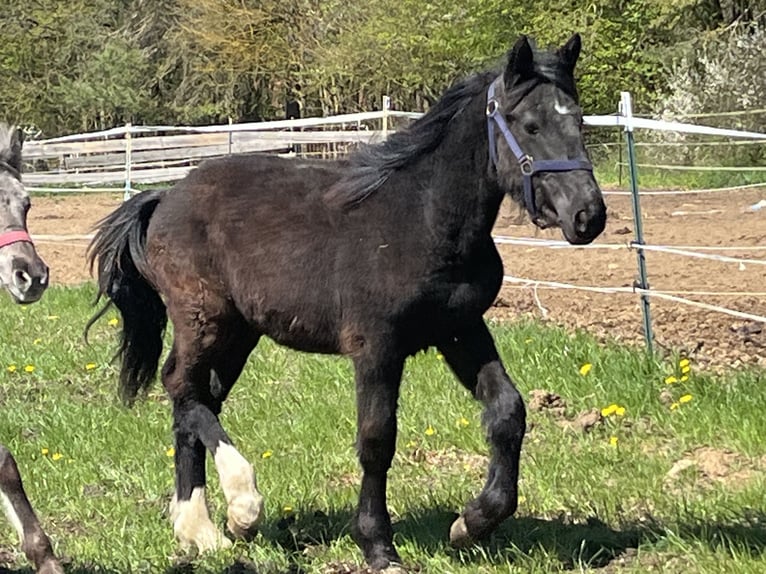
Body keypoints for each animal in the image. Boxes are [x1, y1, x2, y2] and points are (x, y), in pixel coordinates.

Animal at [87, 33, 606, 571]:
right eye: (530, 124)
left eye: (579, 120)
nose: (588, 215)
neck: (424, 219)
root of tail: (162, 199)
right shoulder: (376, 346)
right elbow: (377, 438)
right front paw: (378, 544)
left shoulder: (459, 329)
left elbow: (507, 412)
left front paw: (472, 523)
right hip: (204, 318)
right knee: (181, 388)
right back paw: (239, 506)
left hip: (239, 331)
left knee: (197, 398)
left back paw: (200, 528)